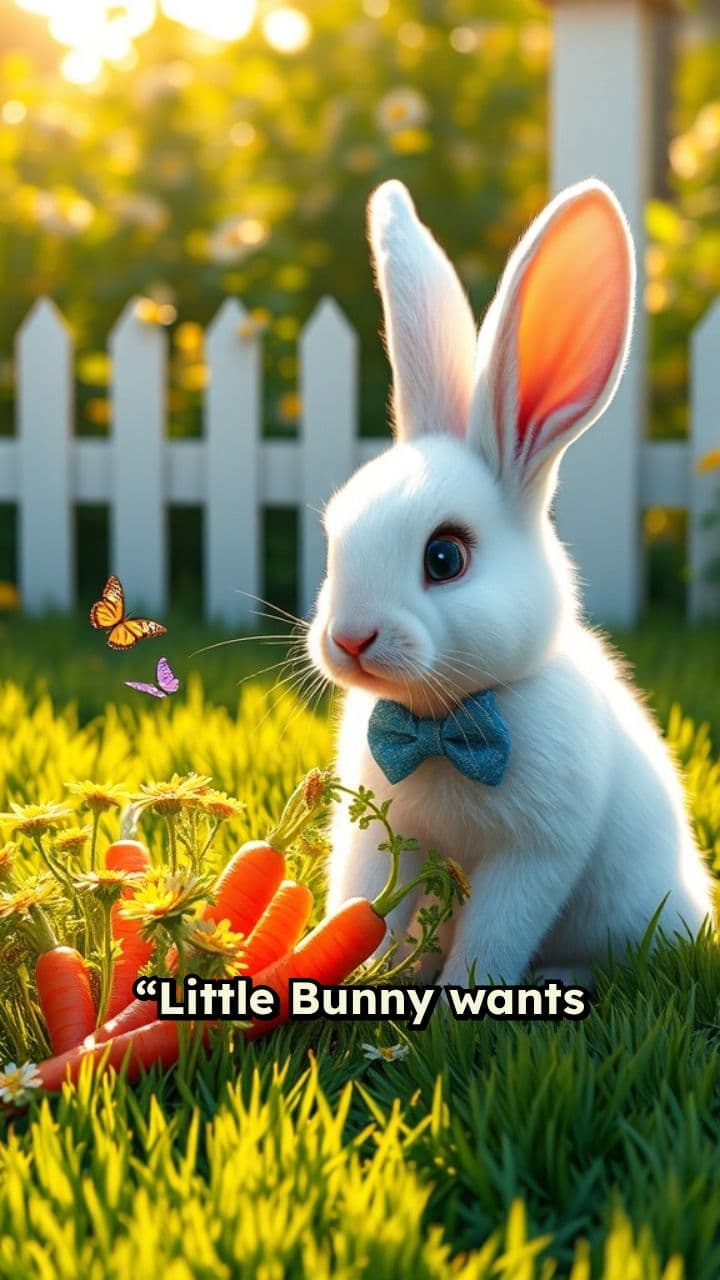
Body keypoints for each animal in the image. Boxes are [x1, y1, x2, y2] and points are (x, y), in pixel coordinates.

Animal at [306, 177, 714, 987]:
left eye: (445, 558)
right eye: (335, 535)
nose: (350, 638)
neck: (443, 723)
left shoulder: (535, 857)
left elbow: (493, 940)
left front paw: (458, 1000)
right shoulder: (383, 839)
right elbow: (363, 910)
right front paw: (364, 978)